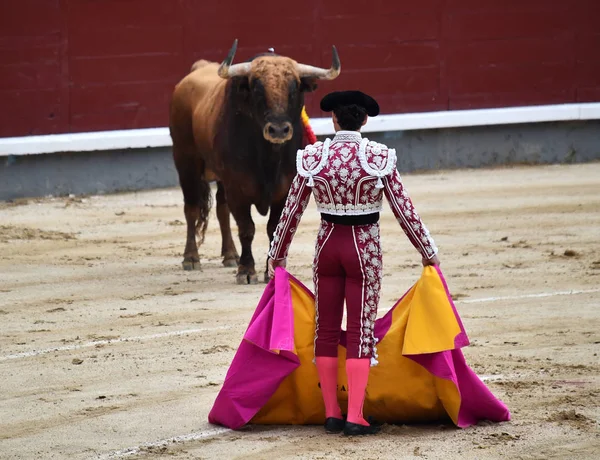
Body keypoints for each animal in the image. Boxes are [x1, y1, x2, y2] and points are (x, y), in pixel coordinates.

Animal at [169, 39, 340, 284]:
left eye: (294, 89)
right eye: (258, 90)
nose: (278, 129)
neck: (267, 157)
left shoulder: (283, 189)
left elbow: (273, 228)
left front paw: (270, 272)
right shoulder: (238, 190)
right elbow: (246, 228)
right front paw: (247, 271)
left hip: (220, 177)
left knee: (221, 208)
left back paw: (230, 255)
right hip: (185, 160)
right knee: (191, 207)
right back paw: (191, 258)